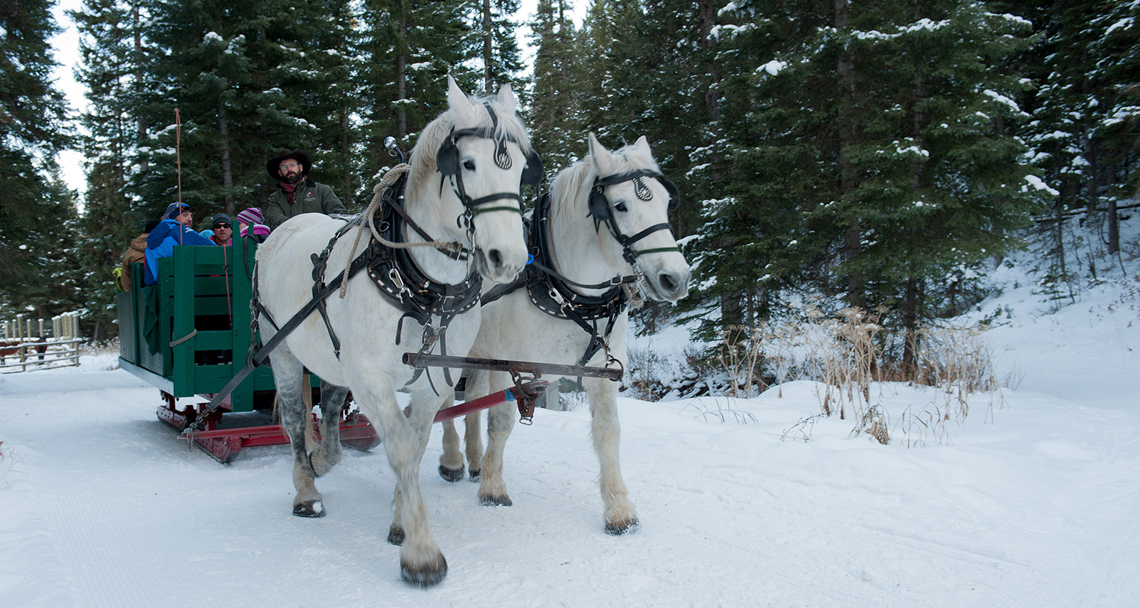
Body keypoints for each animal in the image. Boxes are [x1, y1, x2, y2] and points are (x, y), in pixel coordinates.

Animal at [258, 75, 538, 584]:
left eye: (522, 168)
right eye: (468, 163)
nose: (506, 258)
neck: (424, 285)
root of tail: (281, 230)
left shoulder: (434, 379)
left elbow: (417, 440)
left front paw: (400, 521)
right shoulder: (372, 377)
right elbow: (403, 449)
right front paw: (421, 552)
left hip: (335, 357)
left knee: (330, 404)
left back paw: (325, 458)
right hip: (281, 350)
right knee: (293, 418)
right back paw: (306, 491)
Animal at [435, 135, 688, 533]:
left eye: (665, 201)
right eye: (620, 205)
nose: (676, 278)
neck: (564, 292)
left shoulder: (602, 370)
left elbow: (608, 431)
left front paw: (619, 510)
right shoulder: (512, 365)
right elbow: (502, 421)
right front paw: (493, 489)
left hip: (480, 356)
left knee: (472, 397)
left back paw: (475, 460)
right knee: (445, 398)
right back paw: (452, 461)